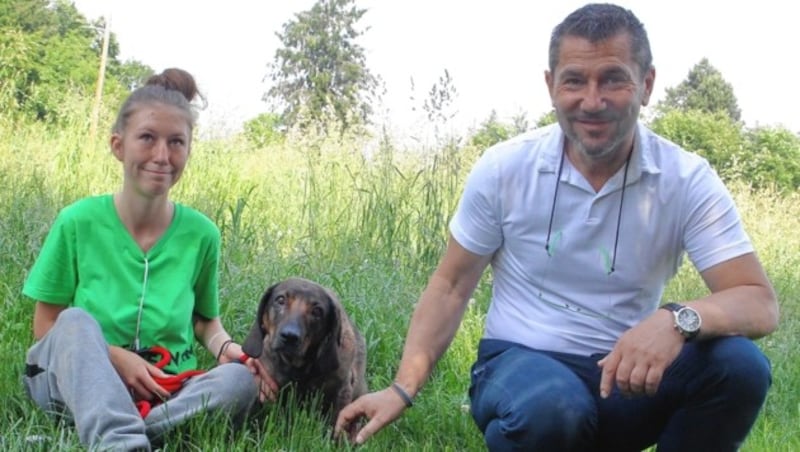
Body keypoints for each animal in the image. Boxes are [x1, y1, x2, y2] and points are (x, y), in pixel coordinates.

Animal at [241, 276, 368, 428]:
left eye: (317, 311)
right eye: (280, 300)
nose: (290, 336)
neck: (298, 366)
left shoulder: (342, 391)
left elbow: (337, 423)